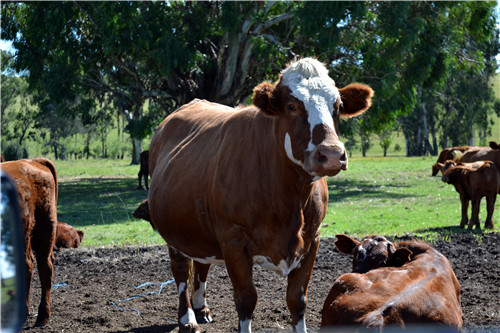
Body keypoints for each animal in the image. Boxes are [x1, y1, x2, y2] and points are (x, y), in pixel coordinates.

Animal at [146, 57, 374, 332]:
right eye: (291, 106)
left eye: (337, 106)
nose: (330, 154)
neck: (289, 200)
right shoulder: (232, 240)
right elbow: (246, 299)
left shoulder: (312, 239)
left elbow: (297, 300)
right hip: (173, 231)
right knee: (180, 270)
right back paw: (188, 319)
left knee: (201, 263)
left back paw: (201, 309)